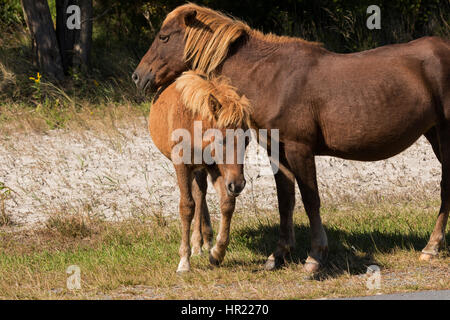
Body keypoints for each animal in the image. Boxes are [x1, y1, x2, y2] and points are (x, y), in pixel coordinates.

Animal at [134, 3, 450, 272]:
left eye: (164, 37)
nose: (139, 76)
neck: (271, 77)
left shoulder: (300, 149)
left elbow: (311, 199)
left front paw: (314, 257)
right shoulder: (277, 150)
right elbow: (285, 200)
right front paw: (278, 255)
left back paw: (432, 246)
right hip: (434, 133)